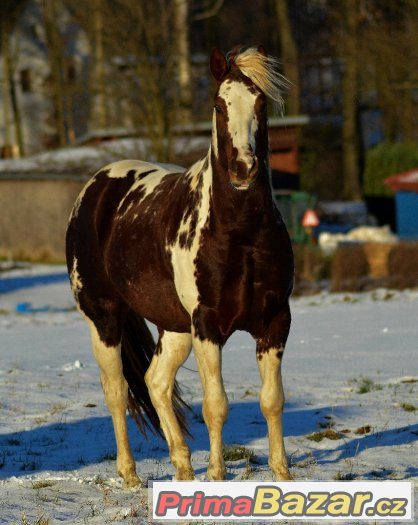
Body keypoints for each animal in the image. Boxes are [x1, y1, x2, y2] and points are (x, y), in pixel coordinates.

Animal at [66, 46, 294, 488]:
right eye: (219, 105)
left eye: (260, 104)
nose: (244, 169)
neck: (240, 233)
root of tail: (96, 187)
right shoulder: (207, 325)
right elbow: (216, 404)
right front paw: (218, 475)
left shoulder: (275, 320)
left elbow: (272, 400)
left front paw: (283, 473)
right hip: (104, 319)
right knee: (117, 391)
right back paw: (131, 474)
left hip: (174, 328)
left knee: (155, 382)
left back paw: (184, 466)